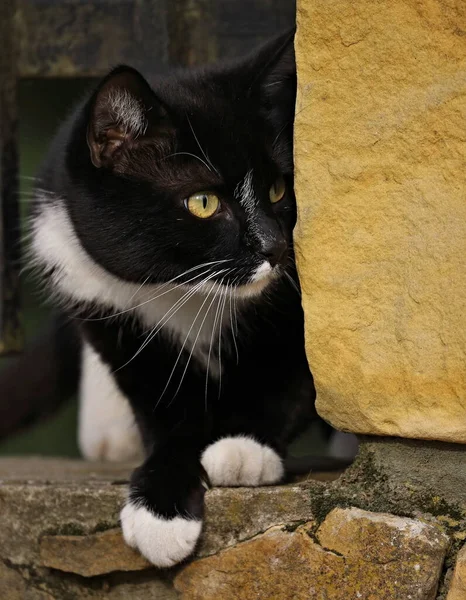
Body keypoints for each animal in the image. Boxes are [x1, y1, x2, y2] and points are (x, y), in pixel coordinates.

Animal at [28, 31, 316, 568]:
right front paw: (160, 509)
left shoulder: (288, 302)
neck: (183, 290)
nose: (275, 248)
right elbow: (164, 408)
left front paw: (244, 448)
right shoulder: (96, 295)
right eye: (202, 202)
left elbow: (288, 370)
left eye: (277, 188)